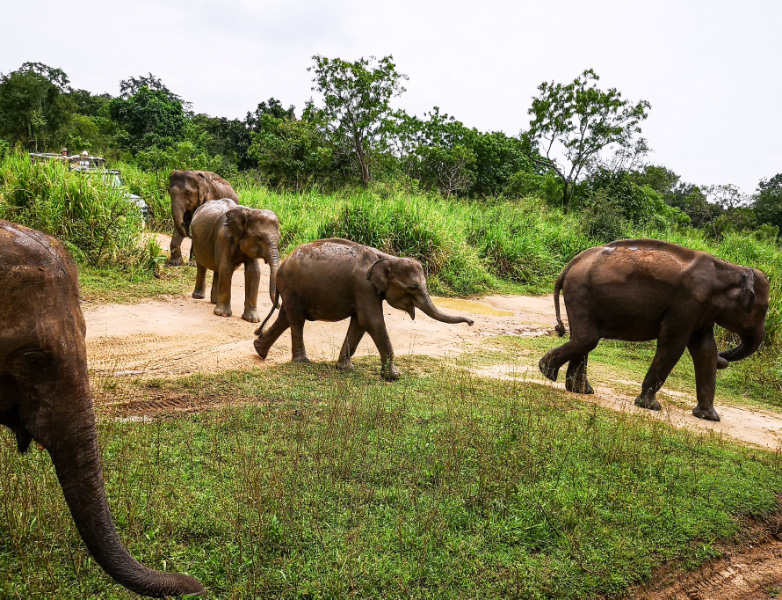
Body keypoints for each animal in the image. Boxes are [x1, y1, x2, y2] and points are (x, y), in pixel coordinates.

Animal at [253, 238, 474, 380]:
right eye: (413, 287)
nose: (471, 322)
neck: (388, 258)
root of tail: (283, 263)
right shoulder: (364, 287)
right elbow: (373, 322)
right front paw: (394, 377)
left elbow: (359, 323)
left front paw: (345, 368)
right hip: (291, 286)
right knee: (297, 320)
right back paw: (302, 362)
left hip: (292, 290)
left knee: (286, 317)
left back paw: (259, 349)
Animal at [538, 239, 770, 422]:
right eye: (763, 309)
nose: (725, 360)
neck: (729, 269)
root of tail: (569, 266)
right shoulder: (687, 304)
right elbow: (673, 346)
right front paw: (650, 406)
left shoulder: (702, 311)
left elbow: (706, 350)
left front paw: (709, 417)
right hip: (580, 293)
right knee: (587, 339)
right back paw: (547, 372)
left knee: (583, 339)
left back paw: (579, 390)